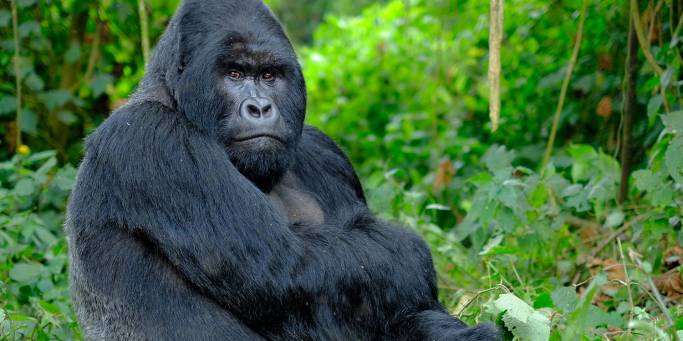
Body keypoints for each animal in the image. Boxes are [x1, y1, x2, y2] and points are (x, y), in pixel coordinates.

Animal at [67, 0, 500, 340]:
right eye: (234, 74)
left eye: (269, 75)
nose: (260, 107)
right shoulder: (150, 141)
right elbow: (288, 267)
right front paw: (412, 252)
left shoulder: (324, 151)